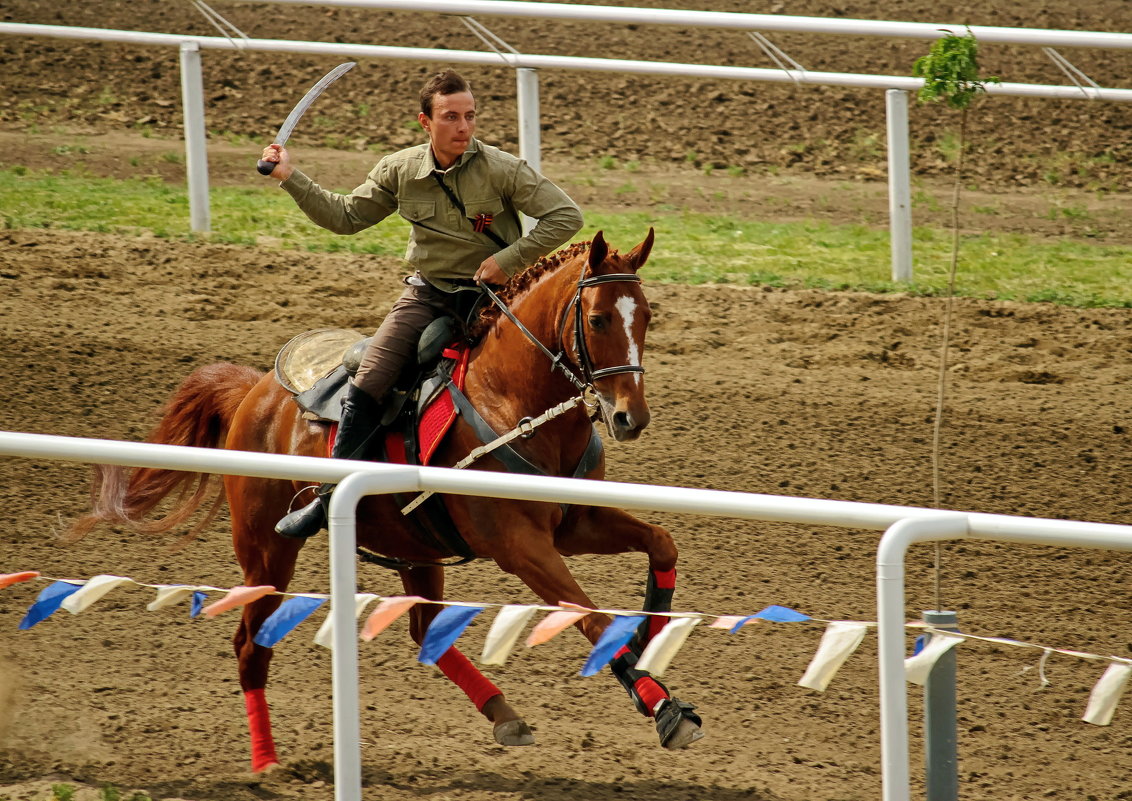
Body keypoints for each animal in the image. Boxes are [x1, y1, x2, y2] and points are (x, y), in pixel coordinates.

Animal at [70, 228, 701, 773]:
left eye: (647, 316)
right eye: (597, 318)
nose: (631, 417)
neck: (508, 399)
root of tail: (254, 391)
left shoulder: (575, 523)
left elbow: (662, 545)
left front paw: (648, 640)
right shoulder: (521, 546)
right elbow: (591, 617)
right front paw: (662, 705)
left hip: (416, 549)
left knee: (424, 629)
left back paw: (503, 712)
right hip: (266, 550)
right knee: (251, 644)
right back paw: (266, 761)